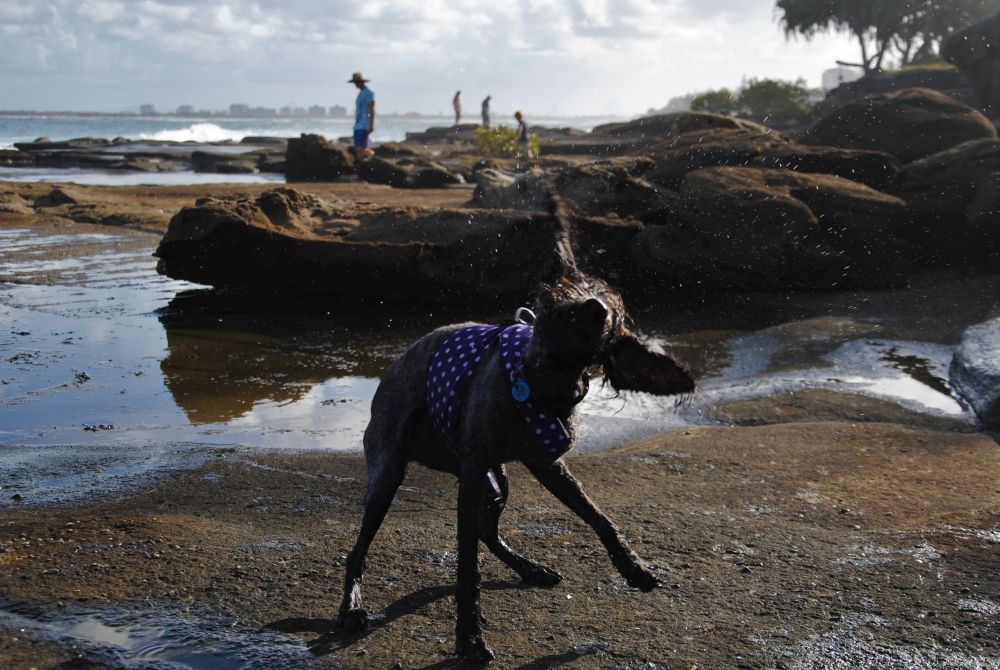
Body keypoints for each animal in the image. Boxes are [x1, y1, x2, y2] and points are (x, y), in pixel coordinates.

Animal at [338, 196, 696, 668]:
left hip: (497, 481)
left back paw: (530, 568)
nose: (594, 308)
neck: (543, 383)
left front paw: (633, 567)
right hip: (390, 472)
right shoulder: (475, 471)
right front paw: (469, 640)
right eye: (562, 295)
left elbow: (597, 516)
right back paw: (351, 608)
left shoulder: (545, 463)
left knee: (488, 532)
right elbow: (466, 565)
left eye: (612, 311)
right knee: (358, 551)